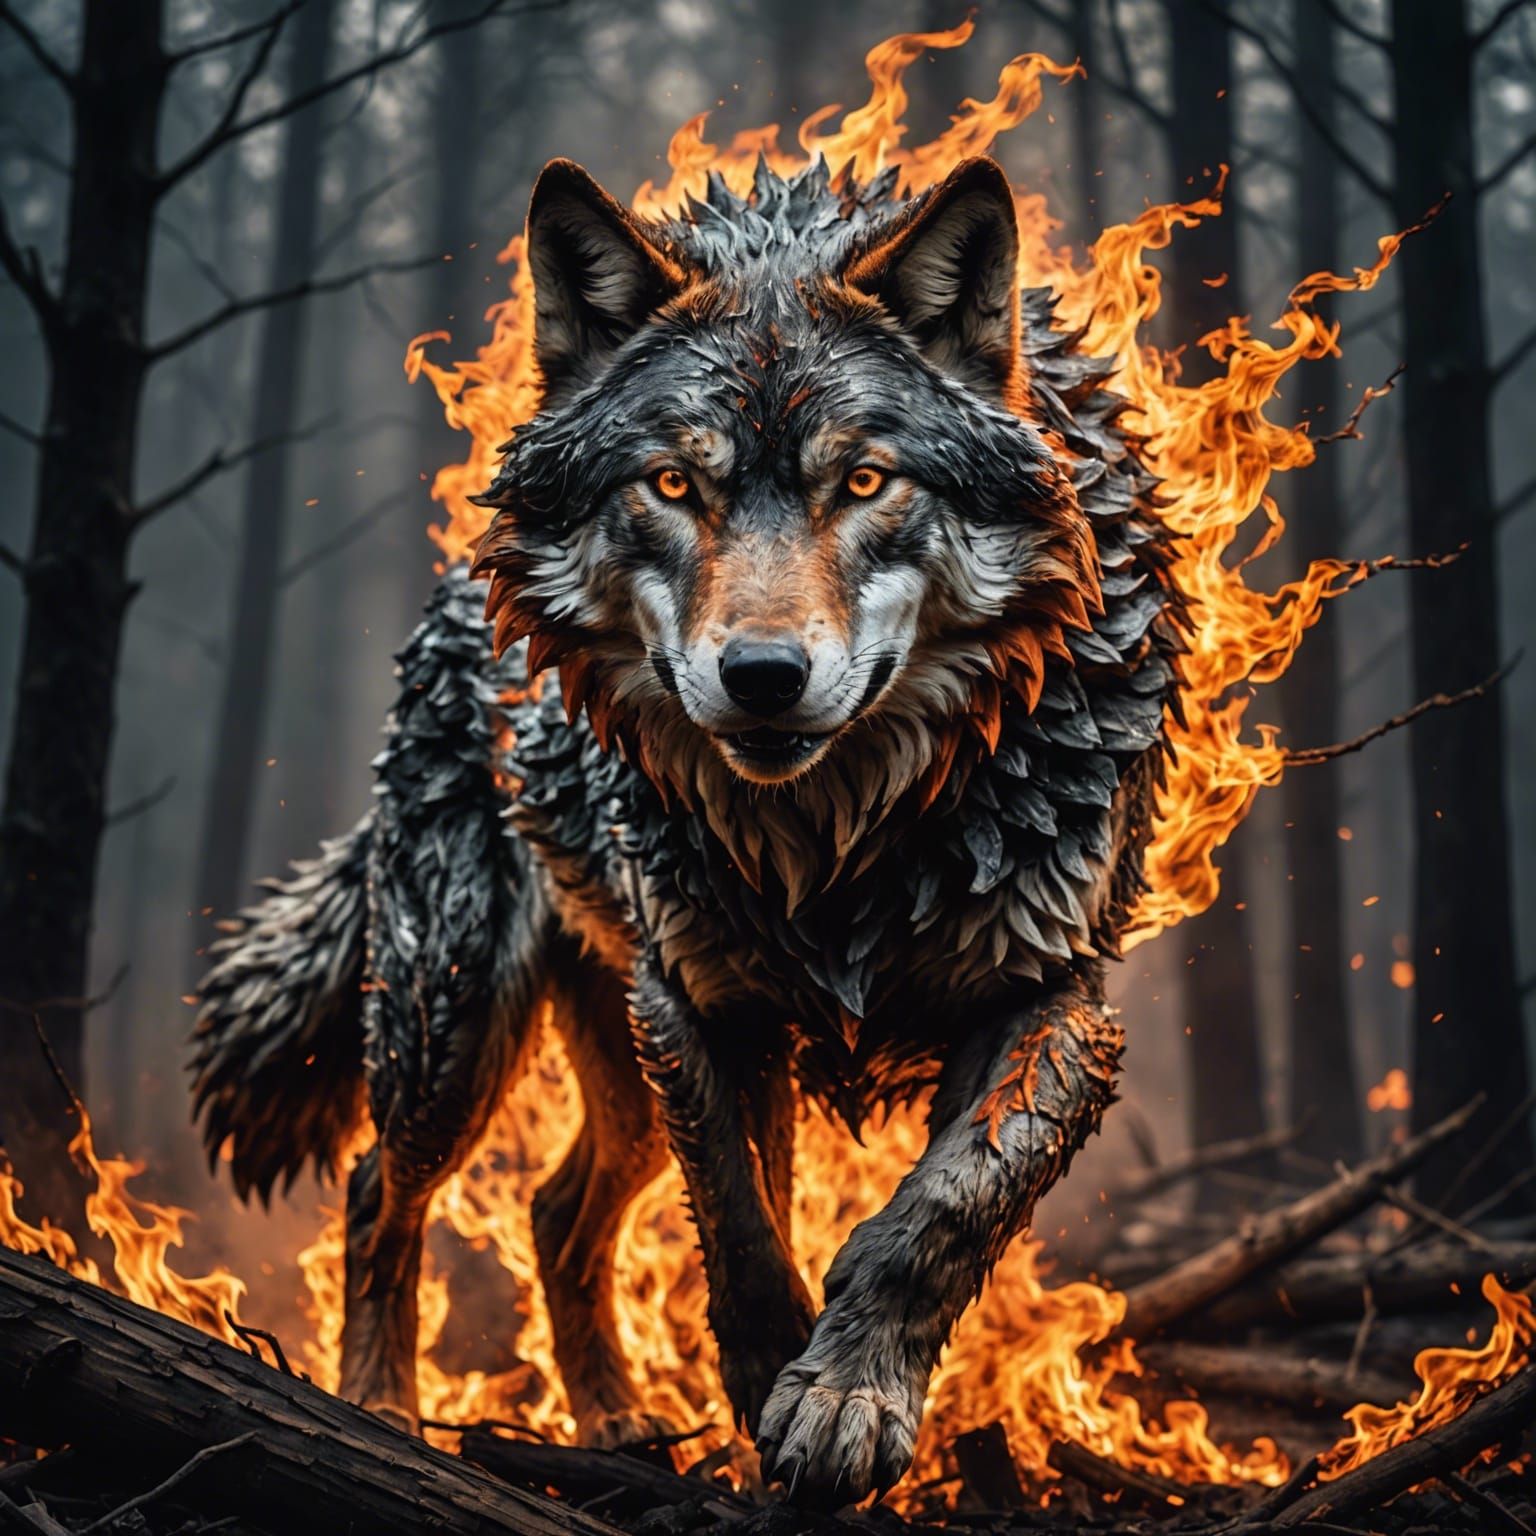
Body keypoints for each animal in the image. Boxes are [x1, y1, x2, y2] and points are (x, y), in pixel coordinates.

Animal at [191, 151, 1181, 1503]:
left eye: (862, 481)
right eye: (672, 484)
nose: (761, 677)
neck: (842, 841)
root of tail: (444, 607)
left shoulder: (1053, 998)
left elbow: (941, 1209)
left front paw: (845, 1397)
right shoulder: (708, 1008)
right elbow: (746, 1227)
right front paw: (773, 1388)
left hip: (601, 1056)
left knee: (556, 1214)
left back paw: (614, 1426)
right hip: (459, 1028)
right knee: (375, 1191)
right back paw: (383, 1413)